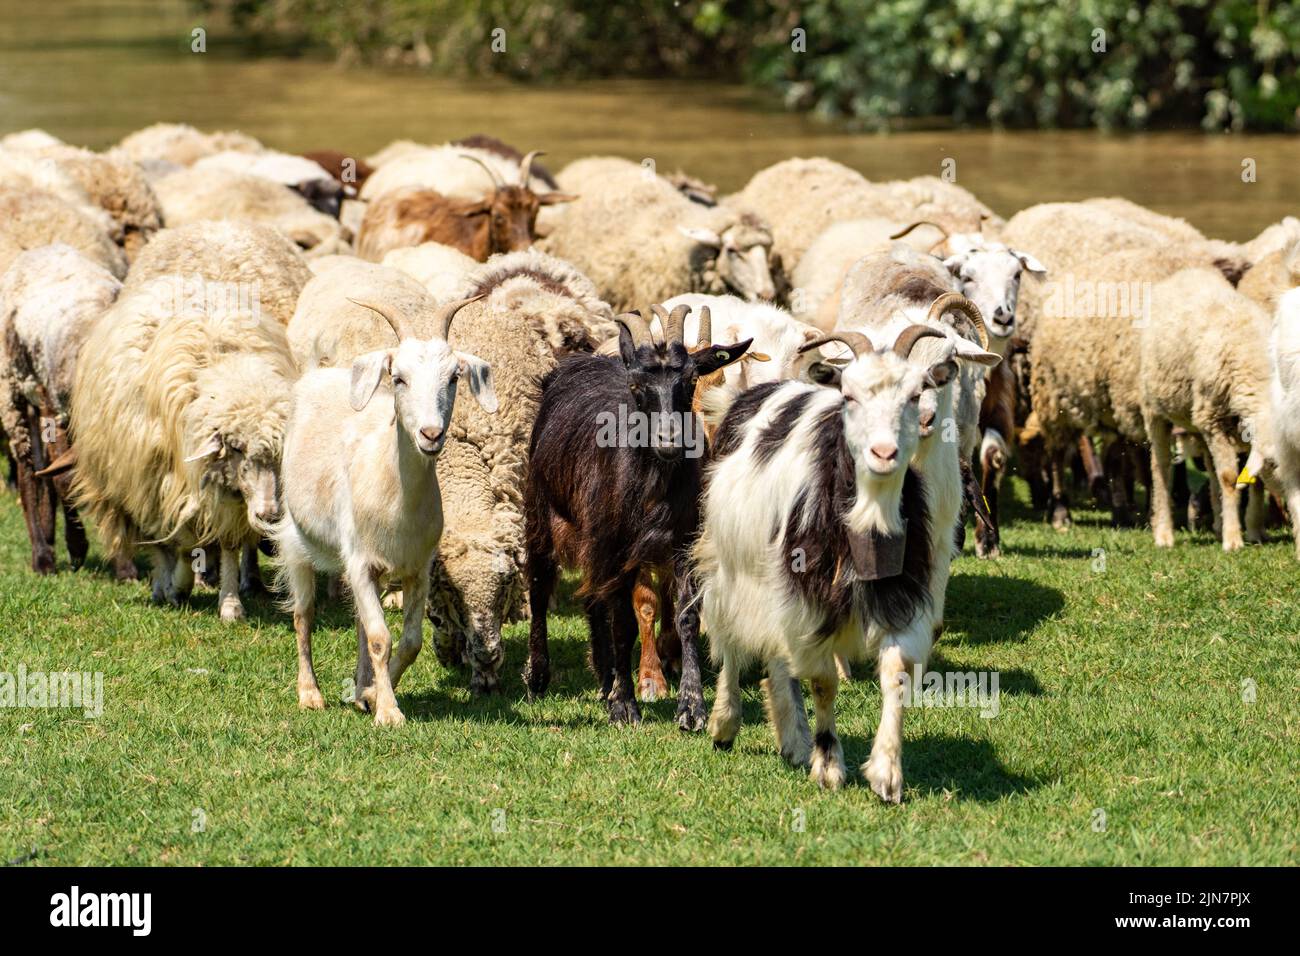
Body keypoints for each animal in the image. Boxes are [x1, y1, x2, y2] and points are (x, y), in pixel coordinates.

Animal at [0, 245, 122, 574]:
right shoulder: (57, 412)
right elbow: (65, 481)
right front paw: (78, 546)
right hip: (16, 394)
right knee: (30, 472)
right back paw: (42, 556)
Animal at [66, 222, 305, 622]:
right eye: (235, 447)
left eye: (280, 454)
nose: (271, 514)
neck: (223, 363)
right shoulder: (163, 477)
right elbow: (174, 542)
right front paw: (178, 585)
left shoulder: (228, 493)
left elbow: (228, 545)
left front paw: (230, 604)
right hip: (135, 474)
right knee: (157, 538)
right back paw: (166, 585)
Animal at [273, 296, 496, 726]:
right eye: (399, 378)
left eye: (453, 378)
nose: (430, 434)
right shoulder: (358, 560)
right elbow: (381, 637)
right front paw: (389, 712)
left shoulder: (419, 567)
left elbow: (408, 641)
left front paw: (374, 694)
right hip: (296, 539)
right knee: (303, 614)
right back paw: (310, 693)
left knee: (360, 623)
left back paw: (361, 688)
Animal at [523, 304, 750, 727]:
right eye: (635, 386)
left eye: (691, 379)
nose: (669, 440)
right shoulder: (615, 545)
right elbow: (624, 624)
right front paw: (625, 705)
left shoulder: (683, 541)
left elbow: (687, 617)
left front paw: (691, 707)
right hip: (541, 513)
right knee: (540, 586)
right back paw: (539, 677)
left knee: (593, 599)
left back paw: (603, 677)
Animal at [693, 322, 981, 797]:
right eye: (849, 395)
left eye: (915, 394)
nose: (884, 453)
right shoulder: (806, 600)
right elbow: (824, 683)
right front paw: (828, 766)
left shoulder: (901, 595)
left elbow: (897, 671)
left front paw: (886, 771)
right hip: (730, 565)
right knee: (730, 639)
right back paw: (725, 723)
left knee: (776, 661)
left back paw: (793, 739)